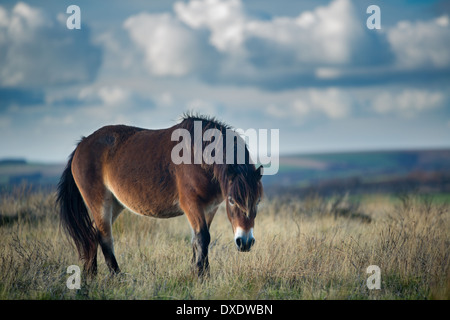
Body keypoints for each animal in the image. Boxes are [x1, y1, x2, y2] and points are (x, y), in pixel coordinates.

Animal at [56, 114, 264, 276]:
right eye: (232, 201)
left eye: (258, 201)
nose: (245, 243)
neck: (200, 156)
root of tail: (82, 144)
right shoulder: (191, 204)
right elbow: (202, 238)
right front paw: (201, 276)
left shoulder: (209, 208)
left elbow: (197, 241)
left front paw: (196, 272)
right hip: (100, 202)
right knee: (105, 238)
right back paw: (117, 277)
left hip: (115, 204)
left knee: (92, 235)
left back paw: (90, 275)